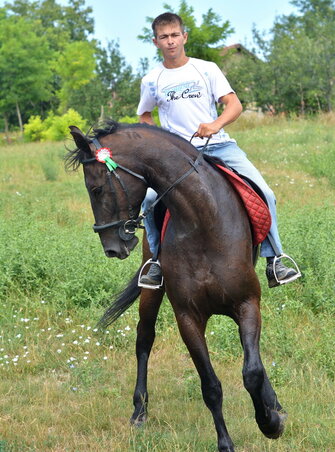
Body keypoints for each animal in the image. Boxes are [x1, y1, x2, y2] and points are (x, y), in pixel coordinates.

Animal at [67, 120, 288, 452]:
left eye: (96, 188)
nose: (112, 248)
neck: (204, 220)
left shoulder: (247, 303)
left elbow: (253, 370)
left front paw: (270, 421)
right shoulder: (188, 317)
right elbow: (211, 386)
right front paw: (227, 443)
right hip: (152, 292)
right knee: (144, 339)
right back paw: (139, 411)